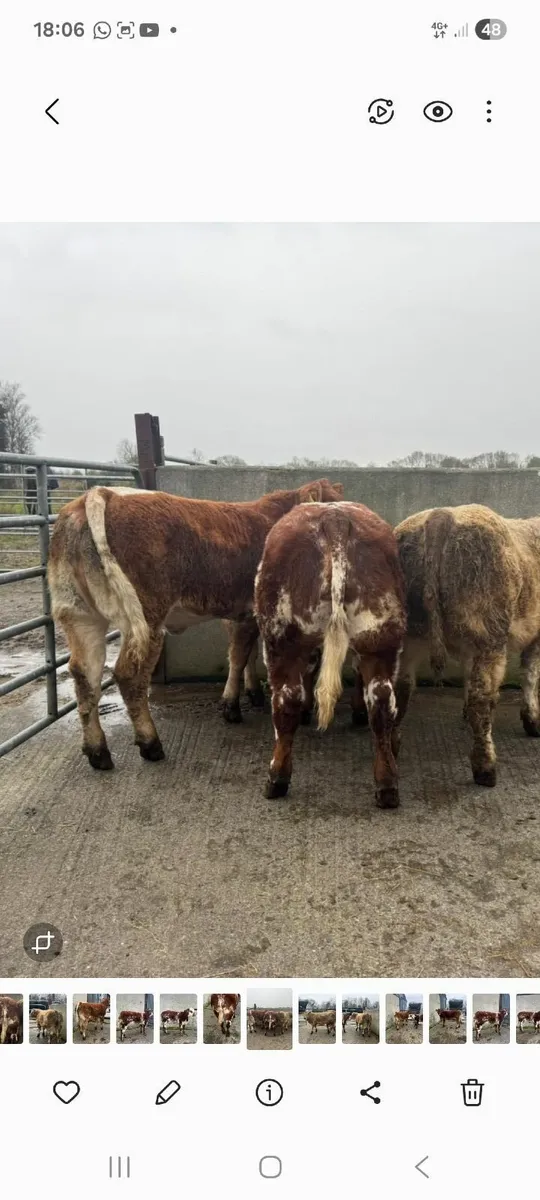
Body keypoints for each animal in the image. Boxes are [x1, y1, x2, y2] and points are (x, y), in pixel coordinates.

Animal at [48, 479, 343, 770]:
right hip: (144, 619)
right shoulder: (249, 612)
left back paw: (97, 751)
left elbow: (246, 654)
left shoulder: (240, 614)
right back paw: (150, 743)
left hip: (80, 615)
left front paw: (253, 693)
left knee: (84, 675)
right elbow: (238, 657)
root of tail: (102, 493)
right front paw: (231, 706)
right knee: (129, 675)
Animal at [255, 502, 406, 807]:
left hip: (281, 638)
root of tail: (334, 518)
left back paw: (277, 778)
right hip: (380, 636)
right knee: (382, 700)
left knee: (286, 699)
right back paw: (387, 786)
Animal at [394, 504, 540, 787]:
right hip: (489, 636)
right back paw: (485, 768)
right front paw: (533, 721)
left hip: (407, 636)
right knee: (481, 699)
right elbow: (530, 676)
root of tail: (439, 515)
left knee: (397, 689)